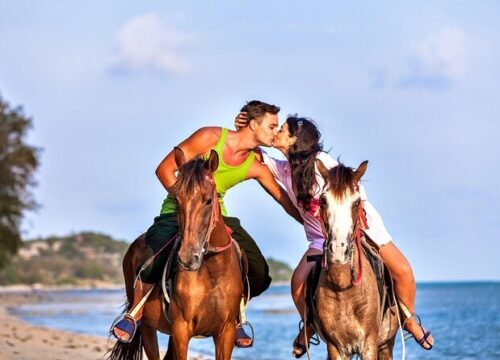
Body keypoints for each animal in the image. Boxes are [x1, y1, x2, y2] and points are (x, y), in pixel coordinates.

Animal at [109, 148, 244, 358]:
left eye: (208, 200)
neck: (213, 273)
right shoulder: (181, 330)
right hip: (147, 327)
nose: (188, 257)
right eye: (177, 200)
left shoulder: (226, 332)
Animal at [312, 161, 398, 360]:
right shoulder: (336, 348)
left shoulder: (369, 344)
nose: (338, 249)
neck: (343, 287)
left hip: (386, 344)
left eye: (356, 202)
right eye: (323, 200)